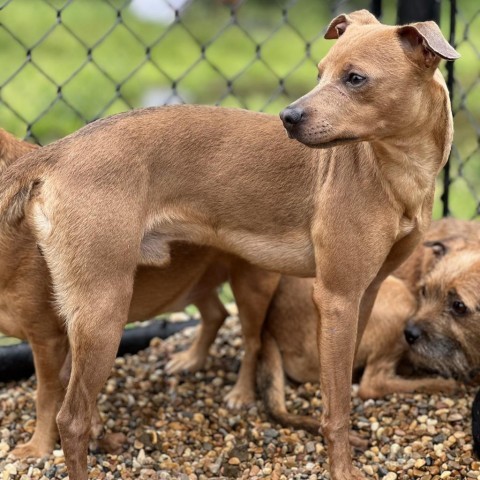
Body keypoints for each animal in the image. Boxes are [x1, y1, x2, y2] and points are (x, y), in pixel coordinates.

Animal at [0, 11, 460, 480]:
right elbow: (336, 407)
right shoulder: (337, 298)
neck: (398, 173)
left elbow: (343, 387)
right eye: (319, 73)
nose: (288, 116)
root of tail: (58, 152)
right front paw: (342, 468)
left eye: (354, 78)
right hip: (104, 313)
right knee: (70, 417)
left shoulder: (365, 295)